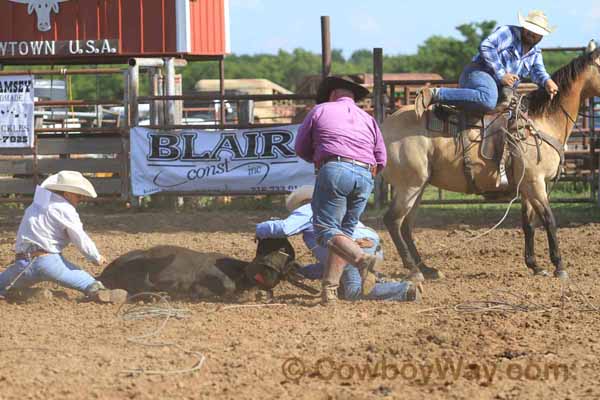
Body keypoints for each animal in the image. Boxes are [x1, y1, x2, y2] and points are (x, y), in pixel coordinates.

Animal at [384, 41, 600, 282]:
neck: (542, 122)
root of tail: (384, 125)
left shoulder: (527, 186)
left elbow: (529, 224)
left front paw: (535, 266)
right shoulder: (535, 183)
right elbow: (549, 220)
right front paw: (559, 266)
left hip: (419, 186)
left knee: (406, 225)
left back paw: (427, 269)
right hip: (409, 185)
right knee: (393, 220)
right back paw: (414, 270)